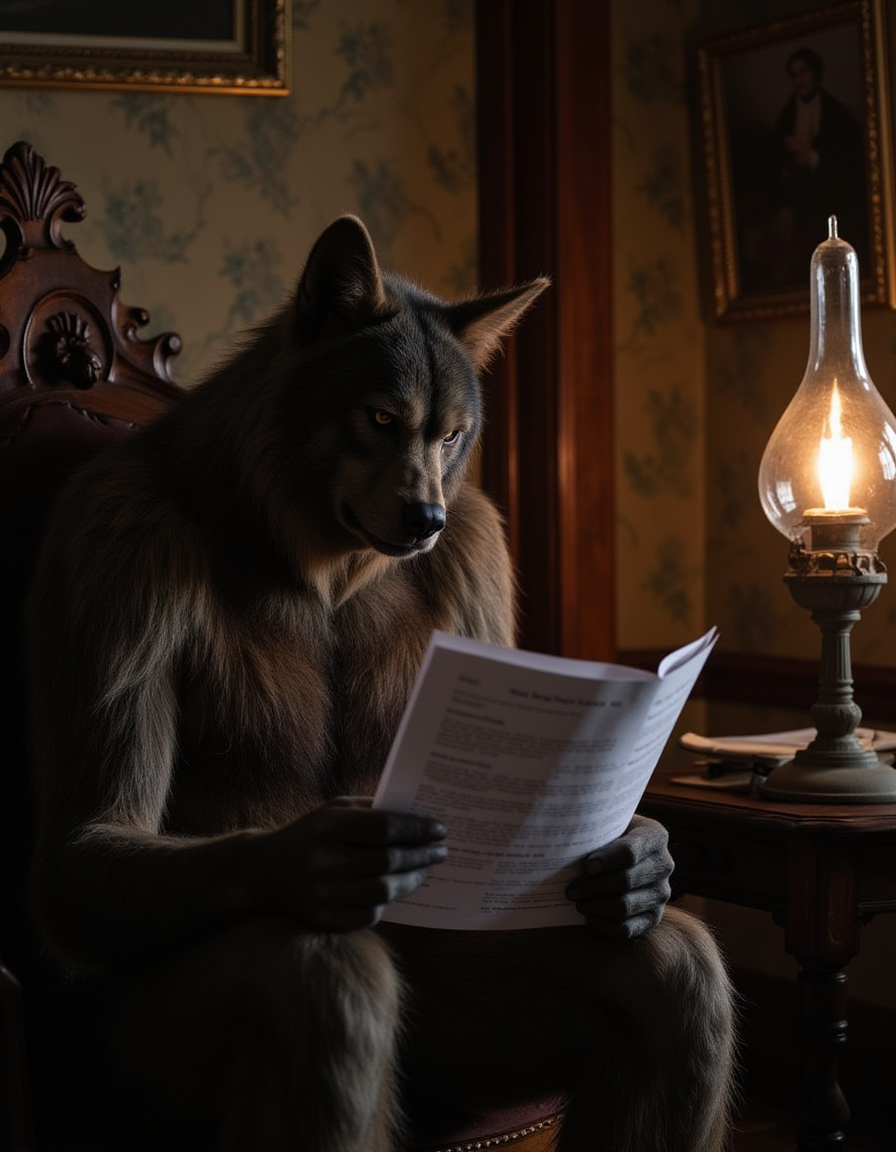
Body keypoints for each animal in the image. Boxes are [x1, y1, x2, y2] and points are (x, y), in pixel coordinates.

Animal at [26, 216, 732, 1152]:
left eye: (452, 436)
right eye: (380, 418)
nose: (427, 515)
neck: (310, 556)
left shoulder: (476, 549)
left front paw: (640, 859)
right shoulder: (119, 541)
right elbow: (88, 840)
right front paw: (319, 856)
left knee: (671, 967)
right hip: (125, 1063)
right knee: (315, 977)